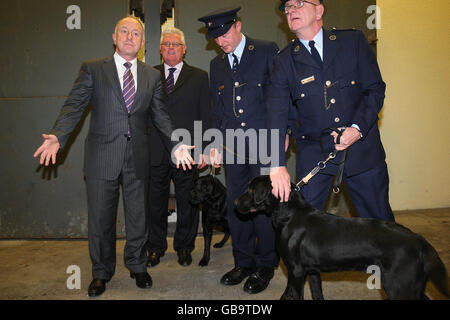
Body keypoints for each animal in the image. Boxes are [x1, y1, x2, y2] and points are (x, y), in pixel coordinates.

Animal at [237, 175, 448, 300]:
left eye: (251, 190)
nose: (234, 203)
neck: (289, 214)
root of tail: (419, 239)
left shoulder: (296, 271)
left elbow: (293, 295)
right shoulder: (312, 271)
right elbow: (317, 293)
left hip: (400, 286)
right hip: (413, 286)